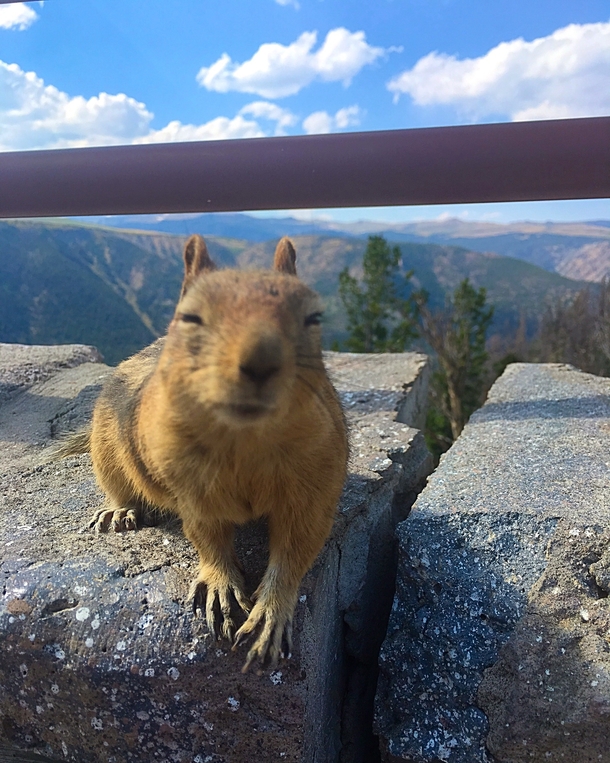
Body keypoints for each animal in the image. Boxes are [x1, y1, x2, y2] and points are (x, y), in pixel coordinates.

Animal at [61, 236, 350, 672]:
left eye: (313, 317)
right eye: (190, 317)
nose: (259, 362)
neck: (245, 442)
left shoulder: (316, 487)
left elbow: (296, 549)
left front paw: (269, 615)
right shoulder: (192, 495)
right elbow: (207, 538)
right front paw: (221, 586)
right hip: (106, 452)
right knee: (118, 488)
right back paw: (118, 512)